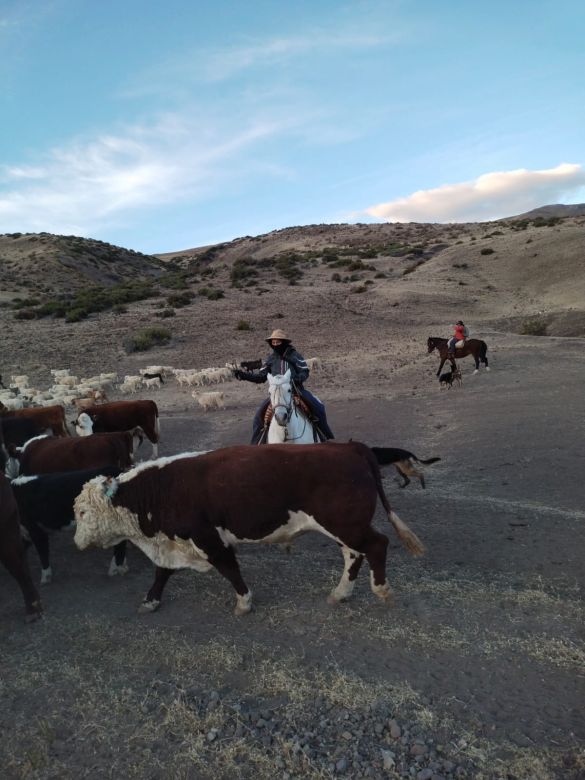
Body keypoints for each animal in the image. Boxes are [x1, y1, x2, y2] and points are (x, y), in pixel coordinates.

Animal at [74, 444, 424, 616]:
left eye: (81, 512)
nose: (77, 542)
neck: (163, 488)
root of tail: (351, 448)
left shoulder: (208, 539)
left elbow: (229, 570)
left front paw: (244, 603)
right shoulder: (176, 542)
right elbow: (162, 573)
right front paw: (150, 601)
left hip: (346, 524)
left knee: (377, 545)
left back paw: (381, 590)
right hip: (344, 528)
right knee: (354, 555)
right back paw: (340, 594)